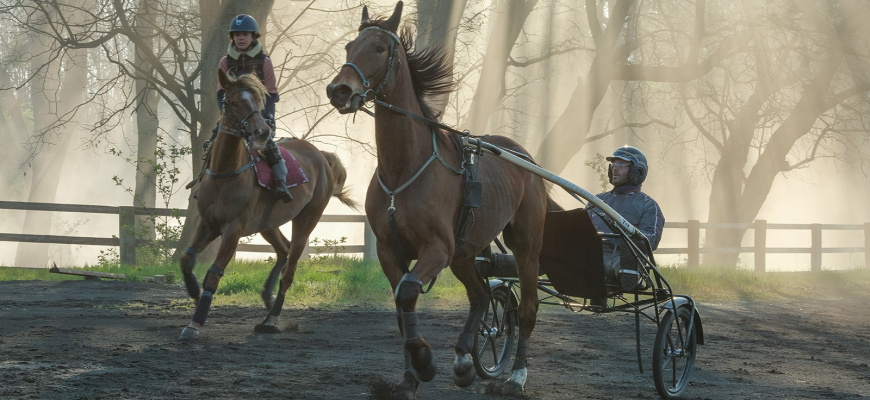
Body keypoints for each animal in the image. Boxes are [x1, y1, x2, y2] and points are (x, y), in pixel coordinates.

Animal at [177, 69, 358, 340]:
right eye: (233, 102)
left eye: (258, 101)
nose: (262, 131)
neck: (225, 173)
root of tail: (321, 156)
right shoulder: (208, 223)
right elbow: (186, 259)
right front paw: (195, 293)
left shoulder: (233, 230)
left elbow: (214, 273)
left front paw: (196, 321)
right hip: (268, 223)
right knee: (283, 250)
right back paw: (267, 298)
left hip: (308, 218)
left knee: (289, 269)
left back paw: (271, 318)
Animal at [328, 2, 552, 396]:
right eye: (348, 47)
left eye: (379, 48)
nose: (338, 90)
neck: (404, 169)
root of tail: (523, 156)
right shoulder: (390, 249)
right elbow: (402, 307)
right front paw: (408, 380)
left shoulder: (437, 247)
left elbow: (407, 294)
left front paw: (424, 362)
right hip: (465, 250)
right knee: (480, 294)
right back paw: (464, 360)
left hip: (524, 245)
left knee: (527, 306)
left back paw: (516, 376)